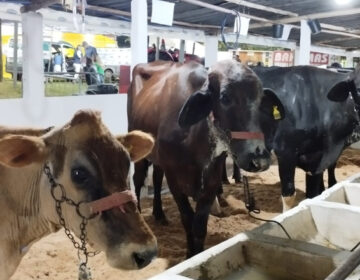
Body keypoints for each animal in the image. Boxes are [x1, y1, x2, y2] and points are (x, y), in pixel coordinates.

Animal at [127, 60, 284, 258]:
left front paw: (199, 254)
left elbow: (200, 225)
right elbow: (187, 219)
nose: (259, 159)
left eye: (261, 99)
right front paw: (189, 254)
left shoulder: (212, 179)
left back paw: (159, 214)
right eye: (225, 98)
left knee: (155, 178)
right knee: (138, 179)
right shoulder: (174, 179)